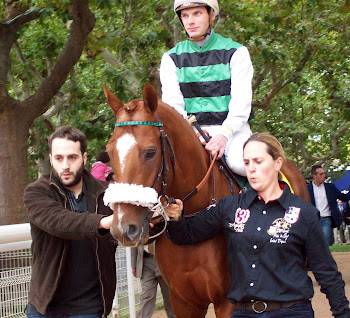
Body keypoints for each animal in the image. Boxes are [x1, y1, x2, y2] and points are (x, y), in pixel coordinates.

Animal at [102, 82, 310, 318]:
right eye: (110, 151)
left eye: (150, 152)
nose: (123, 228)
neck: (196, 217)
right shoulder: (183, 301)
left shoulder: (228, 301)